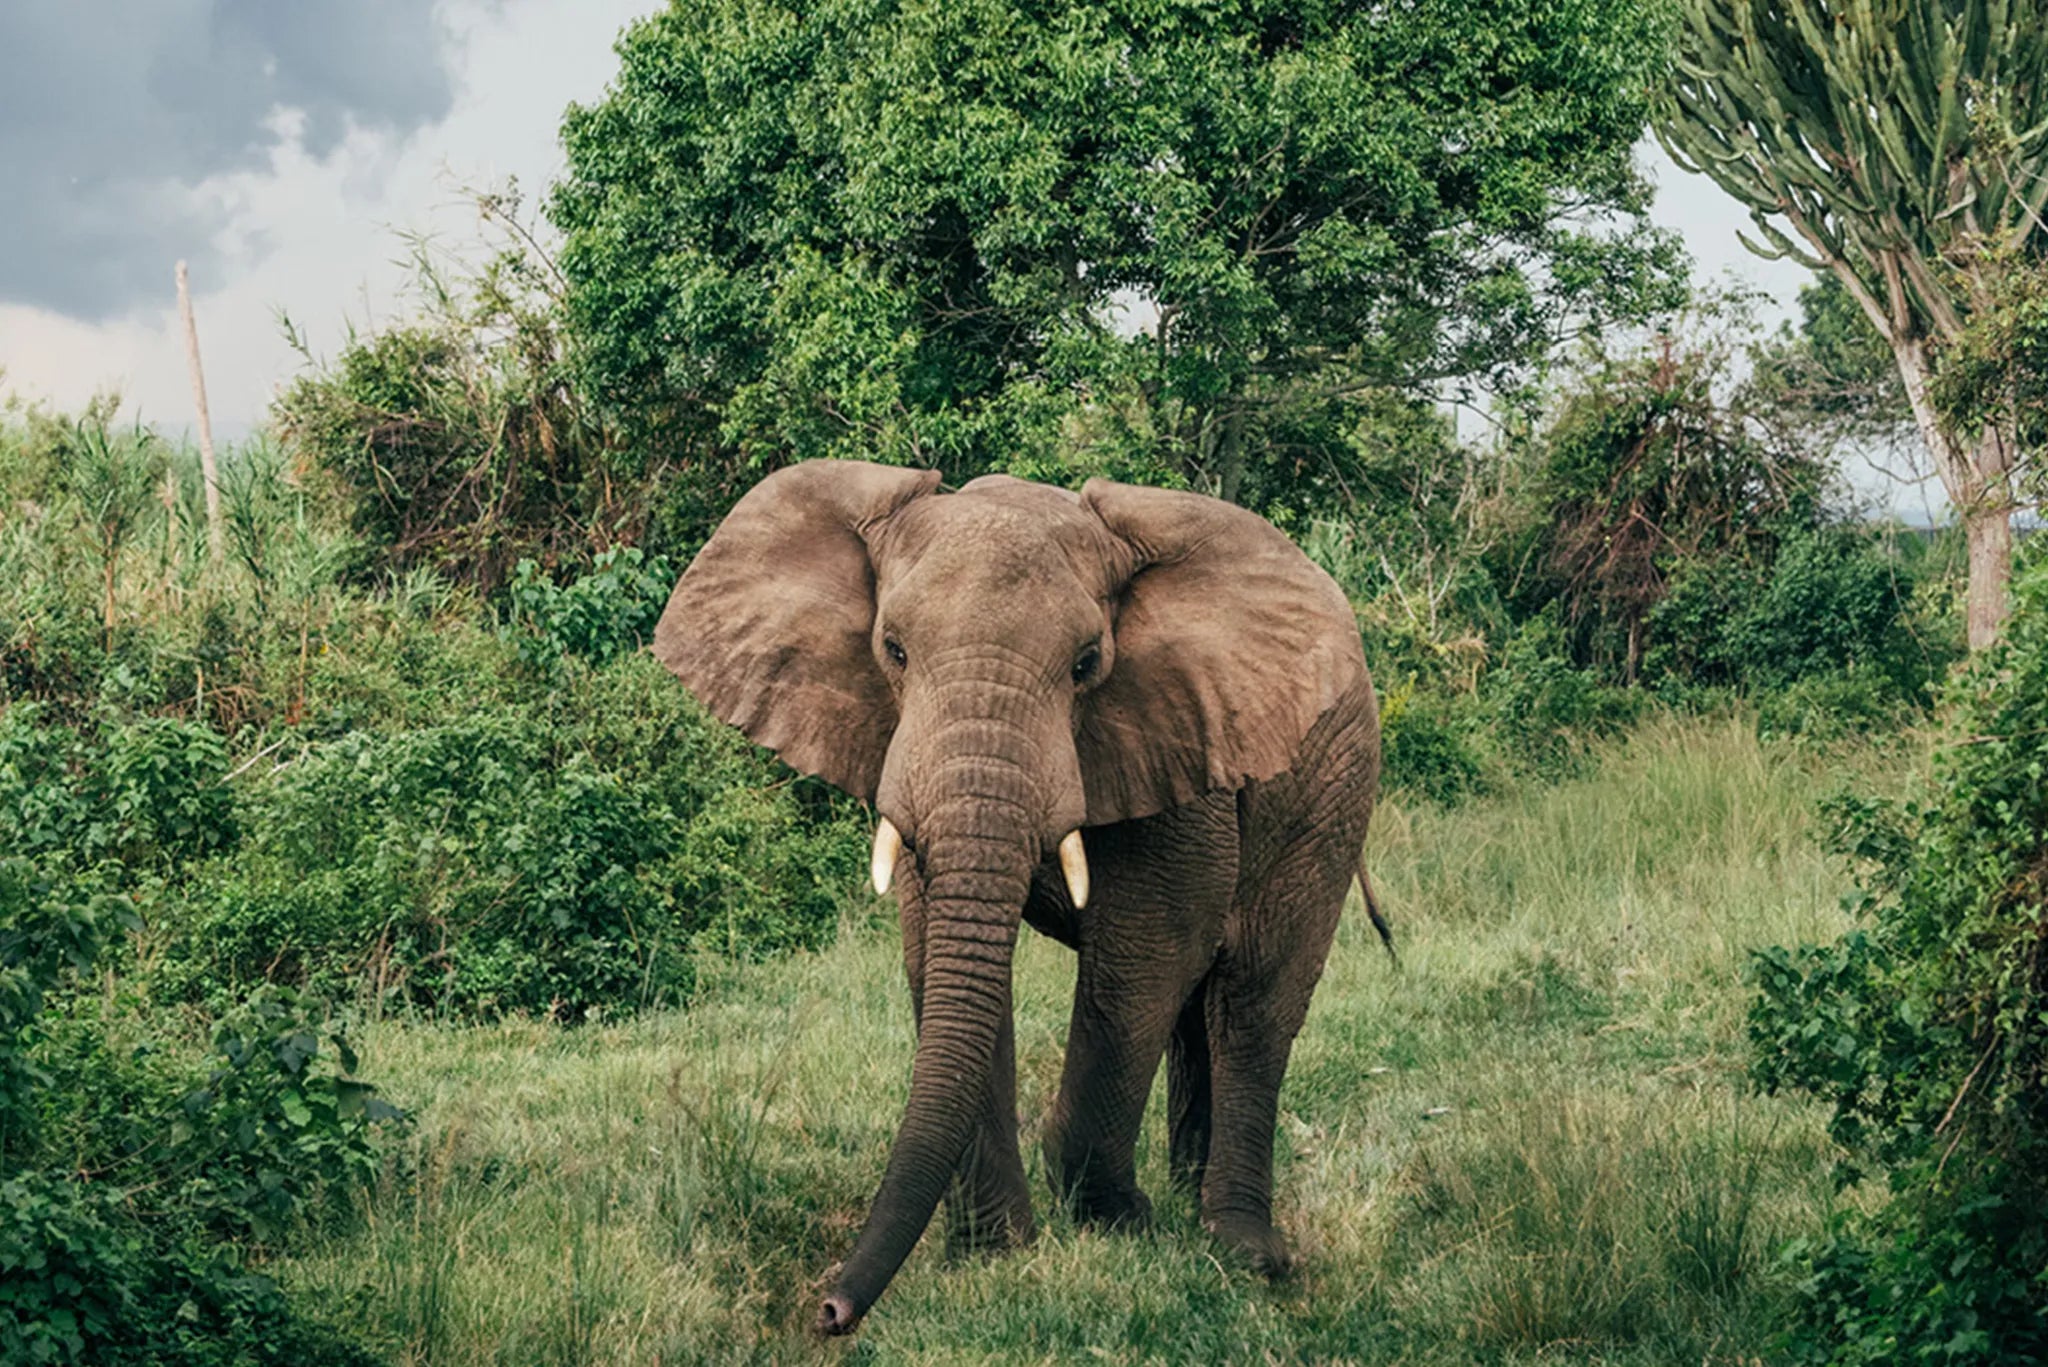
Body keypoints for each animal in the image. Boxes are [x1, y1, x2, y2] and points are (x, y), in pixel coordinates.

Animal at [652, 460, 1385, 1335]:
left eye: (1086, 663)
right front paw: (994, 1256)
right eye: (893, 650)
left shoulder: (1178, 739)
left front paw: (1114, 1224)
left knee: (1254, 997)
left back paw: (1240, 1249)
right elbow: (944, 964)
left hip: (1336, 780)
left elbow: (1146, 954)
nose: (828, 1310)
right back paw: (1186, 1196)